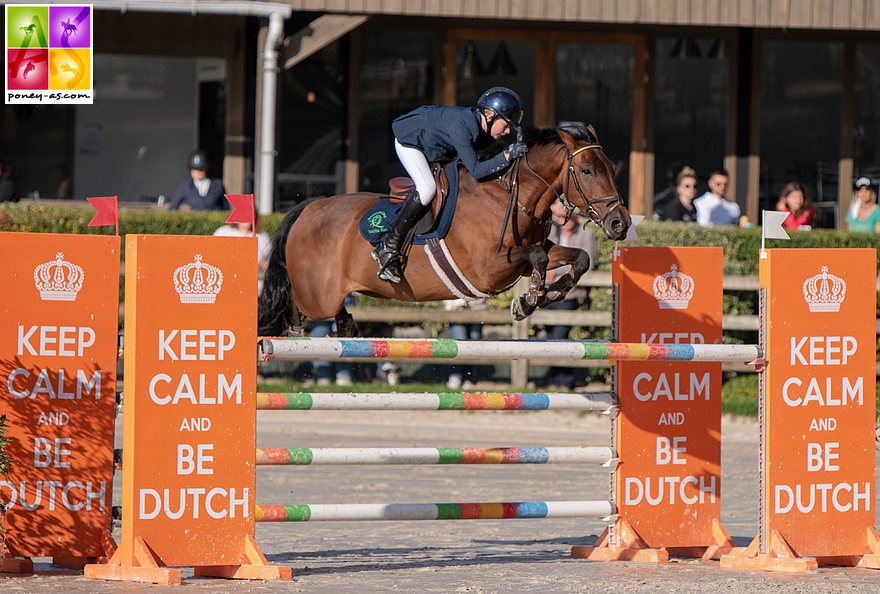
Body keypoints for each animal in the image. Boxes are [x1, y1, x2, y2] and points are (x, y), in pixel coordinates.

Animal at [258, 123, 628, 338]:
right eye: (586, 170)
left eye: (610, 167)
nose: (620, 223)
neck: (509, 195)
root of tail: (308, 208)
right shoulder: (486, 270)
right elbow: (536, 257)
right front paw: (530, 298)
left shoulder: (527, 255)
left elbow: (578, 259)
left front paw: (538, 298)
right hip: (317, 297)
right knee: (291, 301)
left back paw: (346, 325)